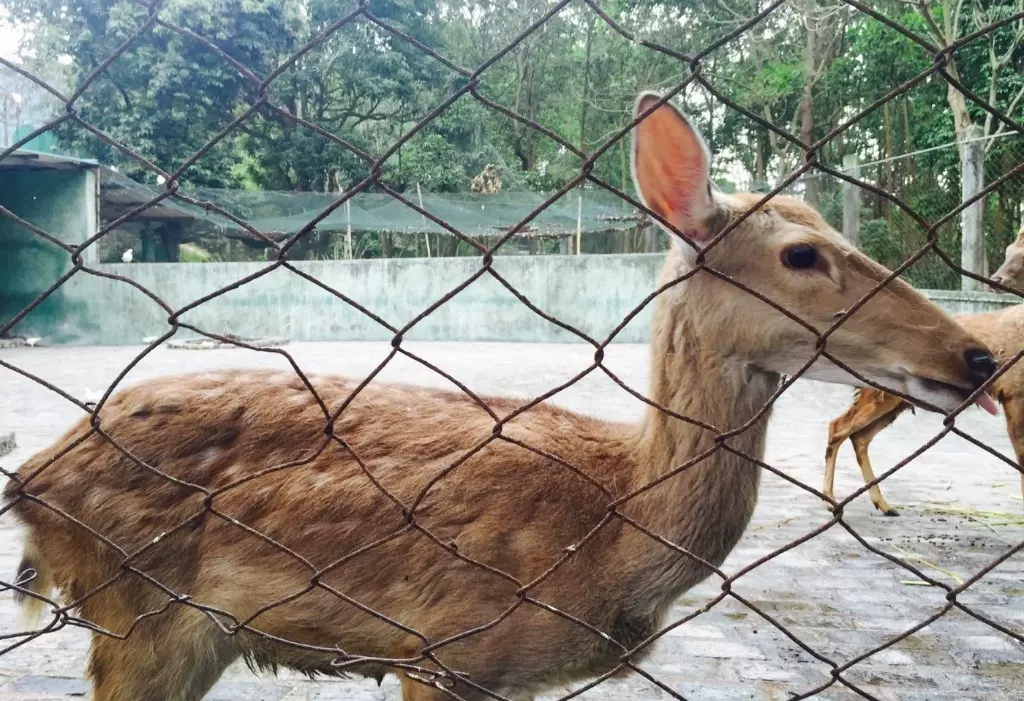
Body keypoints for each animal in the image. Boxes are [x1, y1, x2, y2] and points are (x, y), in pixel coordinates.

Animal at [4, 94, 995, 699]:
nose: (979, 354)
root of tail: (31, 480)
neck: (614, 532)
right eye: (801, 253)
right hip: (141, 612)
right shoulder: (444, 647)